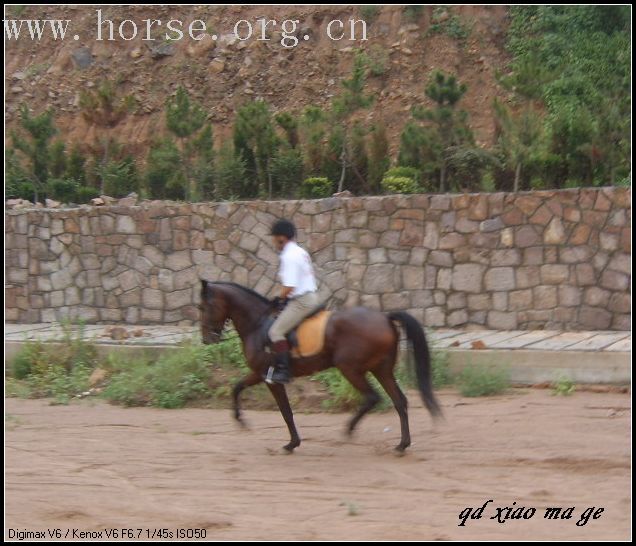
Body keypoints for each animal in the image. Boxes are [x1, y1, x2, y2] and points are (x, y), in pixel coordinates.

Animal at [200, 280, 442, 450]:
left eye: (203, 307)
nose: (206, 339)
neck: (257, 324)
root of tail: (384, 318)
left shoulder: (268, 377)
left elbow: (285, 411)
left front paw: (292, 443)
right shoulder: (259, 373)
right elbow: (237, 387)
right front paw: (240, 420)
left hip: (350, 368)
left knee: (373, 397)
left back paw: (349, 429)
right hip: (381, 369)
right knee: (399, 401)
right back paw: (402, 444)